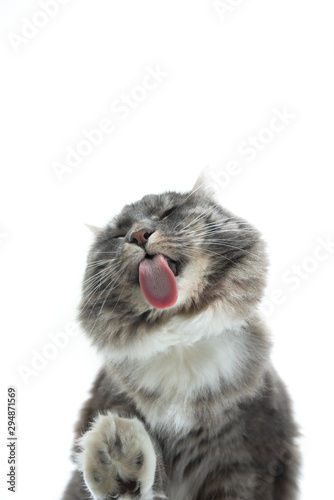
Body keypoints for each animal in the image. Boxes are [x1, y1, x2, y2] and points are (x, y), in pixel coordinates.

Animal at [62, 176, 300, 500]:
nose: (138, 235)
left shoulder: (244, 466)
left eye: (167, 213)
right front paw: (120, 468)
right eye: (119, 233)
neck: (180, 343)